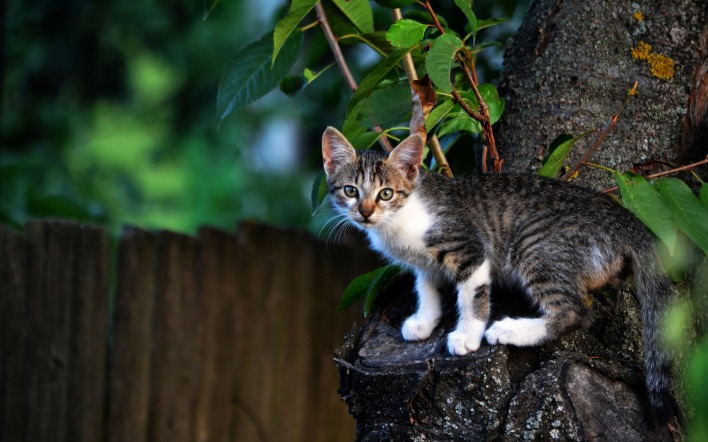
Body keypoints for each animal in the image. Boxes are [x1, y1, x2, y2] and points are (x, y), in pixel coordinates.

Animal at [320, 126, 676, 424]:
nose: (365, 212)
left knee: (575, 311)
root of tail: (623, 216)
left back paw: (511, 330)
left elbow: (472, 294)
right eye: (351, 191)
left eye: (386, 193)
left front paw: (467, 335)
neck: (400, 219)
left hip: (534, 245)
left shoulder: (470, 249)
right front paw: (424, 320)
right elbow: (426, 285)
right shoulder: (424, 261)